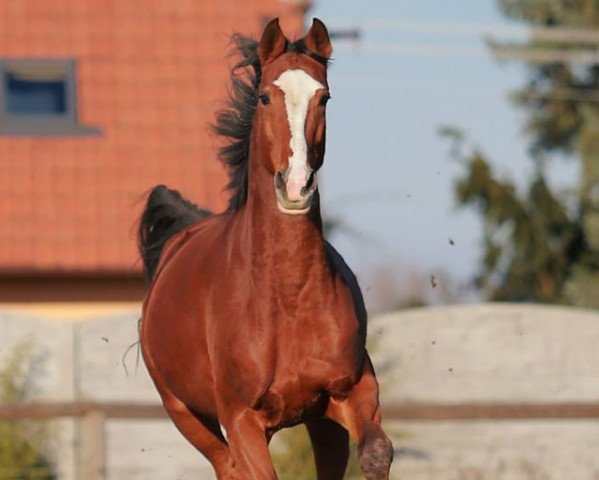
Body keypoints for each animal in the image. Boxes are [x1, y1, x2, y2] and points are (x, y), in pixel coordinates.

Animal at [139, 18, 396, 480]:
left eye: (324, 97)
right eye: (263, 97)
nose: (295, 187)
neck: (287, 298)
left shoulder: (350, 392)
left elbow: (375, 453)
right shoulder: (241, 419)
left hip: (315, 422)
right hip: (186, 413)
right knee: (226, 465)